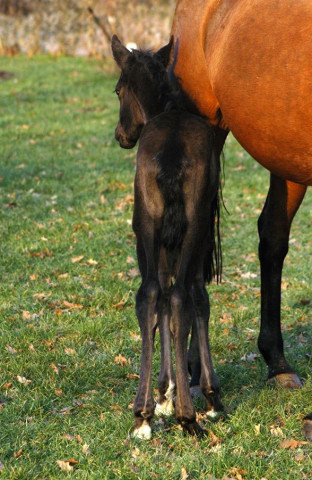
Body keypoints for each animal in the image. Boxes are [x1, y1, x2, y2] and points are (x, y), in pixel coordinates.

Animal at [111, 34, 223, 438]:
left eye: (117, 90)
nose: (121, 135)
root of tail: (171, 151)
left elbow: (158, 297)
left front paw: (163, 394)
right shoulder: (201, 230)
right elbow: (197, 298)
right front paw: (209, 395)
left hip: (145, 219)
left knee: (149, 293)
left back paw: (142, 413)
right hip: (193, 224)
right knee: (180, 295)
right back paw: (188, 416)